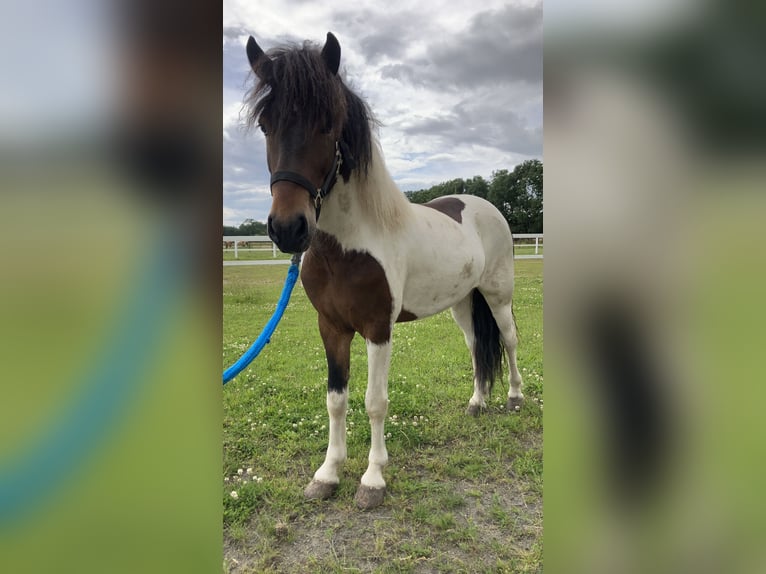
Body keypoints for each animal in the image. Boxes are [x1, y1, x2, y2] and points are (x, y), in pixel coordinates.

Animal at [243, 31, 524, 510]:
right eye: (266, 124)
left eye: (328, 124)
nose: (288, 228)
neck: (349, 245)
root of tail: (484, 205)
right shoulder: (331, 327)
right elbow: (336, 400)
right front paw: (327, 474)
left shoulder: (378, 328)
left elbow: (375, 401)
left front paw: (372, 479)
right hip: (462, 303)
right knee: (475, 347)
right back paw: (476, 402)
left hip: (497, 295)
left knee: (507, 340)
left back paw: (514, 398)